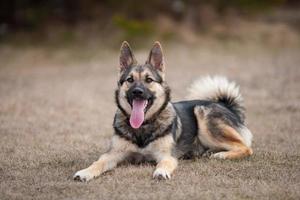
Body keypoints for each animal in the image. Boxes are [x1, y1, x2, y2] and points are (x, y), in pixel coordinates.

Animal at [73, 41, 253, 181]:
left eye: (149, 80)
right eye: (130, 80)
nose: (137, 92)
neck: (143, 126)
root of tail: (226, 105)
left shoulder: (166, 156)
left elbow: (164, 163)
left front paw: (161, 172)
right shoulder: (113, 154)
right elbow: (98, 162)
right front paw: (85, 172)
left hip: (203, 116)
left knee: (246, 148)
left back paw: (221, 155)